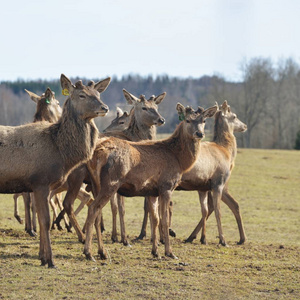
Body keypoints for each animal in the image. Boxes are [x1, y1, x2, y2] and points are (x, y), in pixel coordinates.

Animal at [0, 75, 110, 268]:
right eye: (81, 95)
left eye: (98, 93)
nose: (104, 108)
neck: (61, 152)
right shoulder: (40, 182)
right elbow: (44, 221)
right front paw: (50, 260)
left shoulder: (43, 185)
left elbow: (42, 217)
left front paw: (43, 257)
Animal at [83, 102, 217, 260]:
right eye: (188, 120)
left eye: (204, 120)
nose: (199, 134)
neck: (179, 160)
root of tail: (96, 155)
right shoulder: (166, 185)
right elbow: (164, 219)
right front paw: (169, 252)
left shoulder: (153, 191)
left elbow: (155, 219)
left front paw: (155, 251)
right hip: (111, 182)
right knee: (93, 208)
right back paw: (89, 252)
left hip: (95, 183)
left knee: (97, 212)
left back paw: (101, 252)